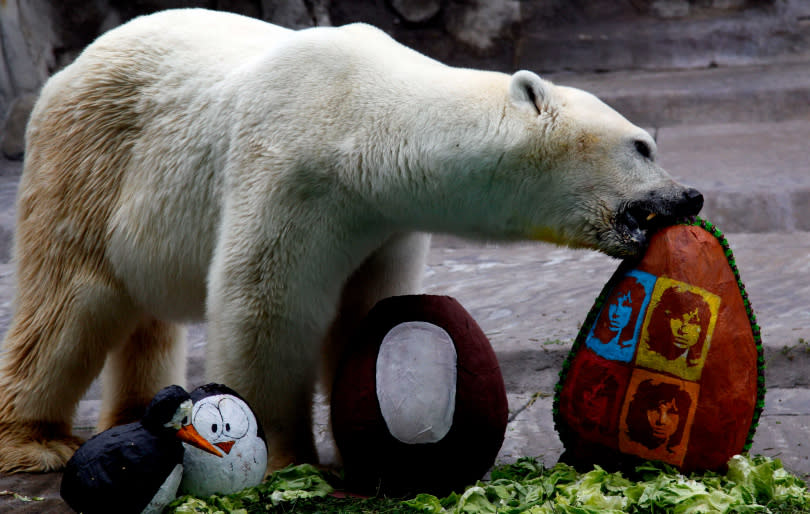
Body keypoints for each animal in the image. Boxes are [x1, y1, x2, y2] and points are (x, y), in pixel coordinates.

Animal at [0, 9, 696, 472]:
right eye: (642, 145)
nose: (690, 196)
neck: (368, 123)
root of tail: (72, 68)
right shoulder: (292, 167)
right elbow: (268, 306)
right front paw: (287, 455)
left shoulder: (382, 220)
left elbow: (367, 310)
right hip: (90, 162)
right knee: (69, 300)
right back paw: (38, 441)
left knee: (142, 318)